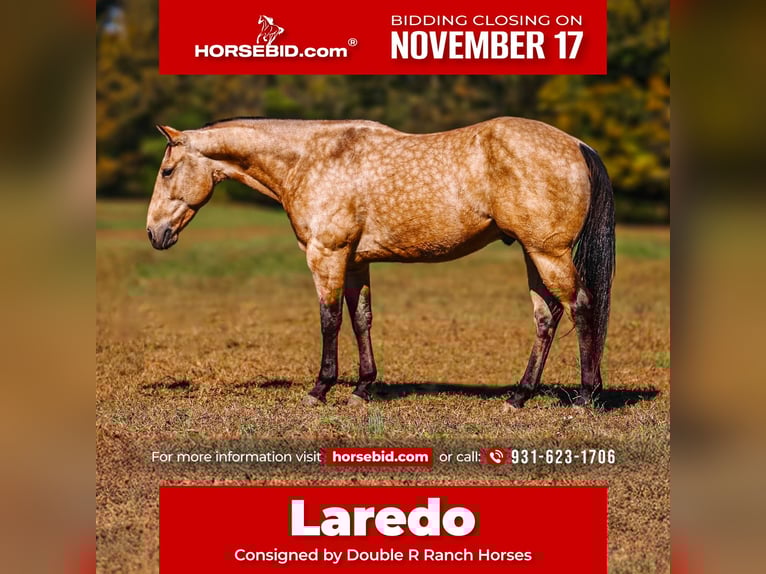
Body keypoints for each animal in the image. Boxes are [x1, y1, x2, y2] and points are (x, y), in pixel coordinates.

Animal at [146, 117, 615, 410]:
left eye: (167, 171)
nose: (154, 234)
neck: (311, 158)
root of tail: (579, 145)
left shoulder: (327, 254)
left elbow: (330, 319)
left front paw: (320, 389)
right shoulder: (355, 261)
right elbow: (361, 319)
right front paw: (362, 389)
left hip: (548, 253)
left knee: (581, 306)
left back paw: (586, 397)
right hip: (533, 253)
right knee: (547, 317)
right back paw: (519, 396)